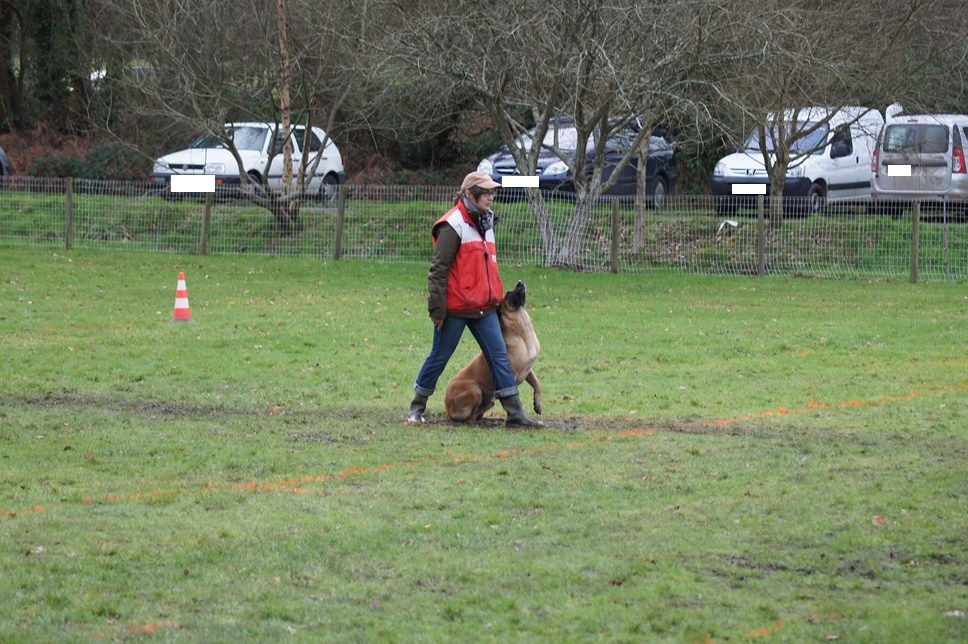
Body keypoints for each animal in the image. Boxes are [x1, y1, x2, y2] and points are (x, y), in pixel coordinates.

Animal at [442, 280, 540, 422]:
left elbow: (538, 385)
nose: (520, 282)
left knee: (478, 414)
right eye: (508, 294)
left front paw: (537, 404)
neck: (522, 336)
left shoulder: (528, 370)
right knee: (470, 418)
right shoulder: (511, 375)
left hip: (488, 400)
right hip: (475, 390)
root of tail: (447, 409)